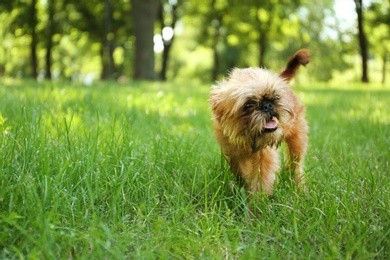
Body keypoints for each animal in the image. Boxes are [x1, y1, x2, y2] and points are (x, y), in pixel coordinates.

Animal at [210, 49, 310, 201]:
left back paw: (298, 186)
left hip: (297, 139)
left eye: (275, 97)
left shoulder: (264, 157)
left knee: (295, 165)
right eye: (248, 105)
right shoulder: (234, 155)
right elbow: (242, 173)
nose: (267, 105)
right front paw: (242, 189)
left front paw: (256, 203)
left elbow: (260, 180)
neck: (247, 138)